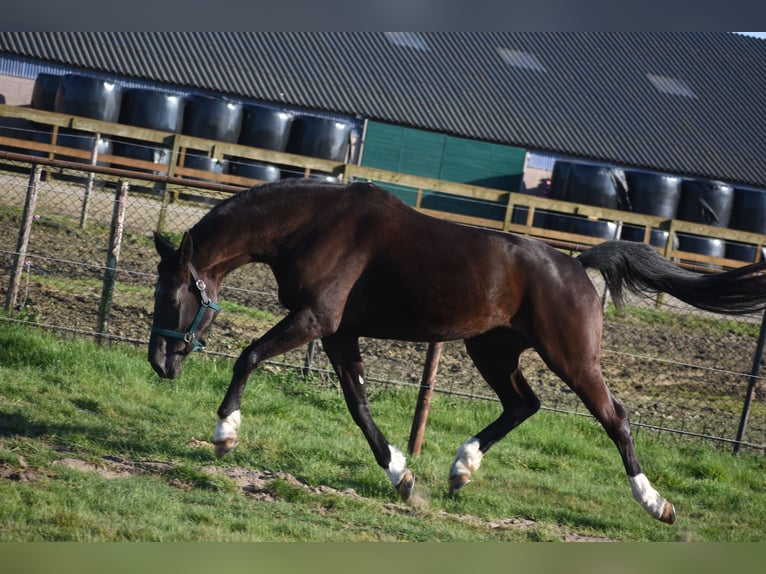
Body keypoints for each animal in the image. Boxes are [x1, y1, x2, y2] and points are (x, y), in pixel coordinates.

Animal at [148, 178, 766, 524]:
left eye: (172, 294)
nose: (160, 361)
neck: (314, 225)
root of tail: (575, 264)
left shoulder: (314, 320)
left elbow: (248, 356)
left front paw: (225, 433)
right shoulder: (338, 333)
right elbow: (358, 404)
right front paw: (402, 476)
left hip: (572, 358)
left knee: (616, 418)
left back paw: (656, 504)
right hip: (491, 350)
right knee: (523, 404)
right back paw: (461, 468)